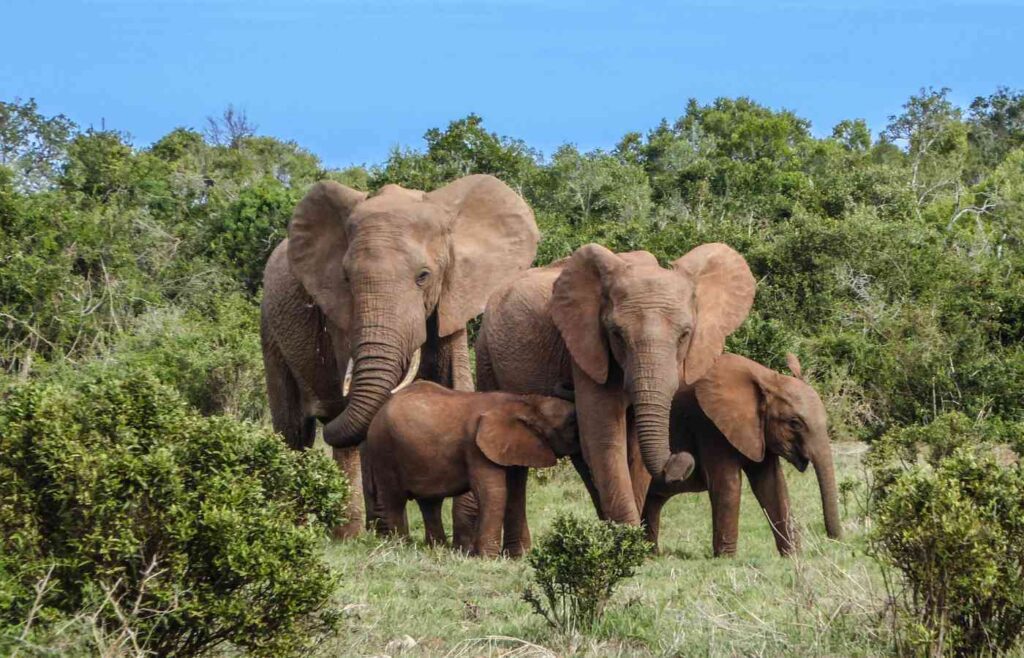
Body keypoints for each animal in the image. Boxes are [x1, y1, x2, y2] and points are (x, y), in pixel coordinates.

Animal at [260, 176, 540, 540]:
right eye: (346, 279)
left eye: (424, 276)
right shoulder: (341, 315)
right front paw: (389, 534)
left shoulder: (453, 296)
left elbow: (457, 383)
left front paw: (463, 538)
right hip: (269, 326)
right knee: (294, 432)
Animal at [364, 380, 581, 556]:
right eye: (572, 422)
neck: (526, 402)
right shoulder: (476, 447)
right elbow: (493, 492)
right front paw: (487, 558)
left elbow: (516, 493)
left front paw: (520, 557)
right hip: (383, 450)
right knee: (394, 500)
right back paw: (400, 547)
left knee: (430, 503)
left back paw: (437, 549)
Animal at [475, 241, 757, 536]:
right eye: (616, 335)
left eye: (685, 335)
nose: (681, 461)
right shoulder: (586, 348)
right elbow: (605, 437)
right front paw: (628, 539)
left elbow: (633, 450)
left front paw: (628, 540)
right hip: (486, 356)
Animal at [643, 352, 843, 556]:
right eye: (794, 423)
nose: (833, 540)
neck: (768, 378)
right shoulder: (709, 425)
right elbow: (728, 484)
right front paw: (726, 559)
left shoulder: (758, 432)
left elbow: (772, 484)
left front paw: (793, 556)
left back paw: (651, 554)